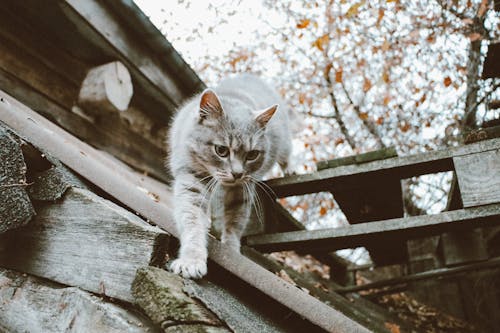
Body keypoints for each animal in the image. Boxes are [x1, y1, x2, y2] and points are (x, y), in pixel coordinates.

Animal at [169, 74, 292, 278]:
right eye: (221, 150)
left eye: (252, 155)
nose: (237, 173)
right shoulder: (192, 180)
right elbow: (192, 221)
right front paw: (191, 260)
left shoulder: (241, 191)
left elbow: (234, 224)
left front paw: (231, 251)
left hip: (283, 146)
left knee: (286, 155)